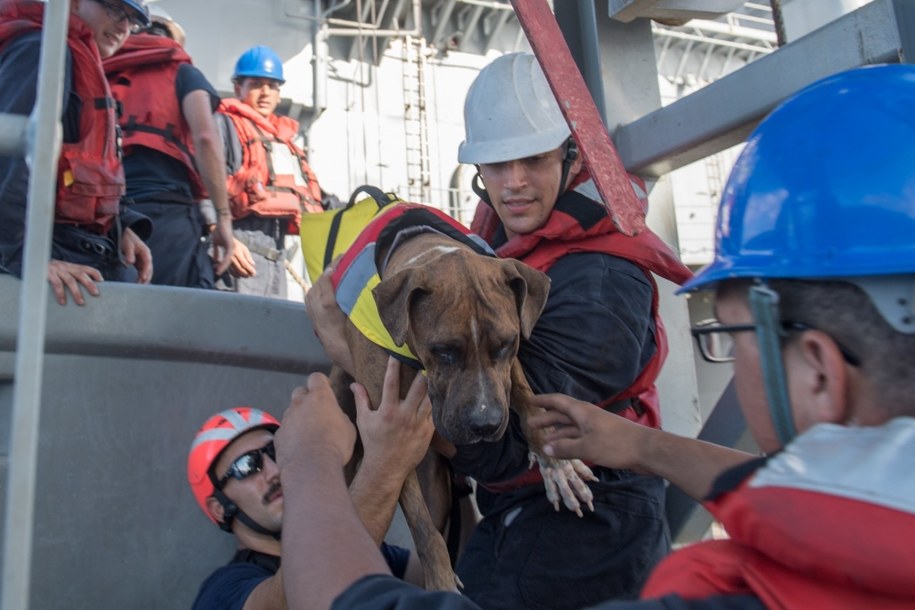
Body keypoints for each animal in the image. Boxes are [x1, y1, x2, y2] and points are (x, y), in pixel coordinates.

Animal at [330, 224, 592, 588]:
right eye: (443, 350)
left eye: (507, 344)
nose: (485, 424)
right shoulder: (388, 437)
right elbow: (424, 530)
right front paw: (441, 582)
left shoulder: (508, 367)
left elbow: (529, 402)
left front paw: (556, 465)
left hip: (438, 486)